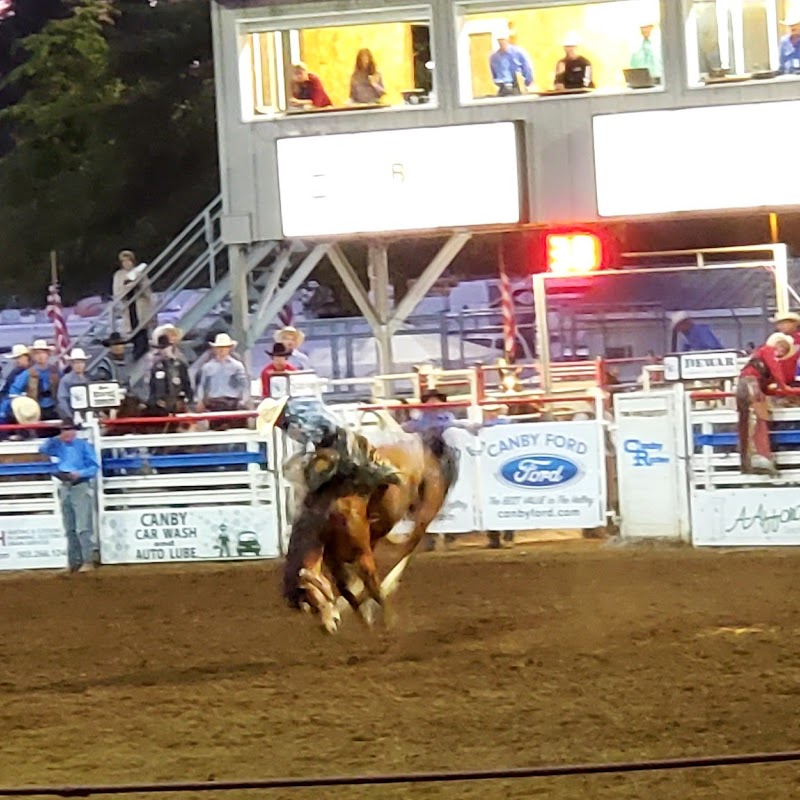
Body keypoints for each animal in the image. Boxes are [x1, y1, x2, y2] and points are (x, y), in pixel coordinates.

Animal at [282, 434, 456, 636]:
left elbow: (373, 588)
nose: (327, 629)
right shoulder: (334, 560)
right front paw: (364, 617)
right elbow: (346, 588)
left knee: (409, 547)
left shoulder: (363, 554)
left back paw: (388, 584)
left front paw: (389, 622)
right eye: (306, 608)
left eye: (312, 599)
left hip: (428, 506)